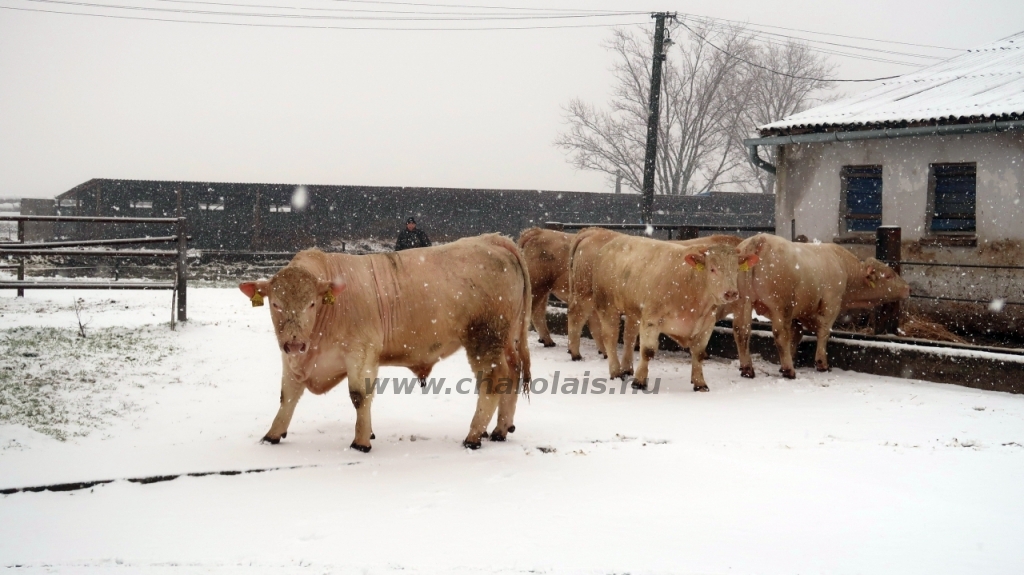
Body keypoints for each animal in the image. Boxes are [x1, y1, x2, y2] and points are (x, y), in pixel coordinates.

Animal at [238, 231, 528, 448]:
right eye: (275, 304)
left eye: (311, 303)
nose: (295, 342)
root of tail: (491, 239)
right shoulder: (292, 359)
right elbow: (287, 395)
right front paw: (272, 434)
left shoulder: (361, 352)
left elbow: (359, 396)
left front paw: (361, 441)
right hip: (507, 338)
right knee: (512, 374)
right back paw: (500, 429)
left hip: (485, 338)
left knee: (493, 380)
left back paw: (473, 436)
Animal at [589, 233, 757, 388]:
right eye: (712, 269)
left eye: (736, 269)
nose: (731, 293)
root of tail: (613, 242)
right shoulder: (651, 319)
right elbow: (647, 351)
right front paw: (639, 382)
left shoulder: (708, 323)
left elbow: (699, 353)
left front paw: (700, 383)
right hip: (607, 305)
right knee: (610, 338)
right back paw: (616, 372)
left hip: (633, 312)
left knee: (629, 338)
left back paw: (626, 369)